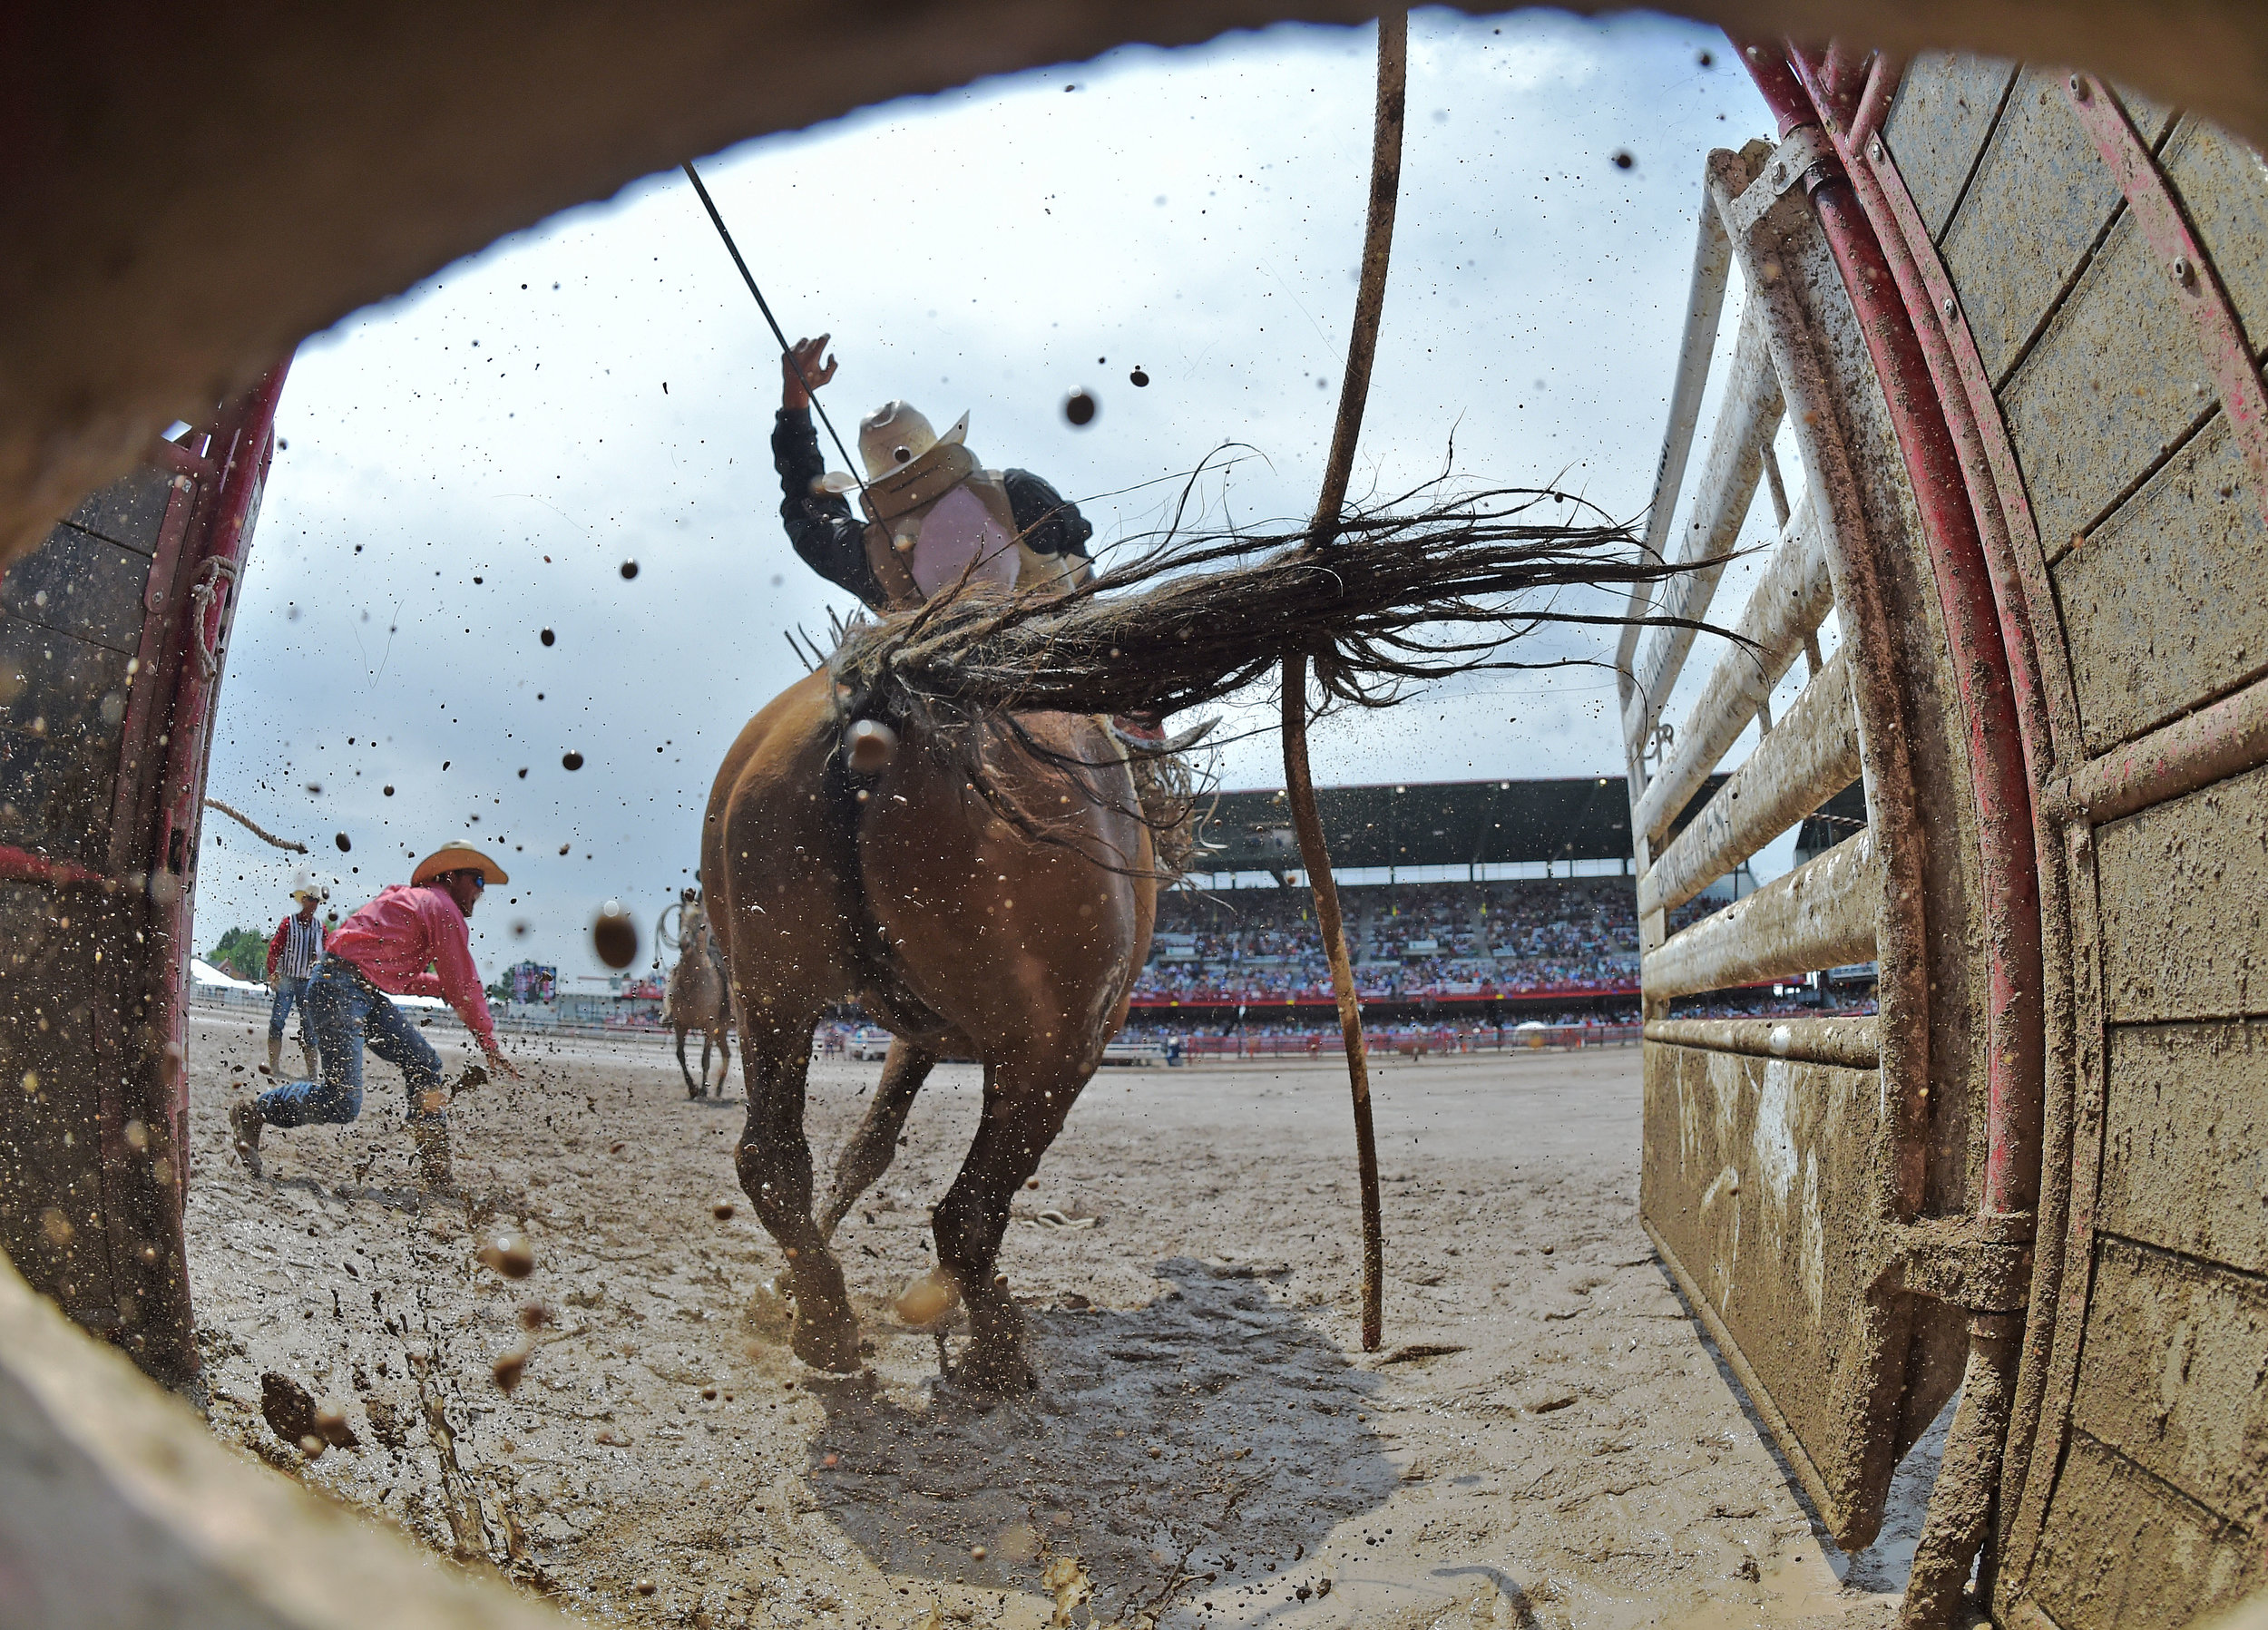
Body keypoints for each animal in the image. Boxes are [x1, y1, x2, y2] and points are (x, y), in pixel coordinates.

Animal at [703, 670, 1161, 1396]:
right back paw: (996, 1354)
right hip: (1053, 1051)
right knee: (968, 1214)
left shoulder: (917, 1035)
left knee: (771, 1161)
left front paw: (780, 1288)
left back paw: (822, 1321)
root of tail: (880, 703)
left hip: (770, 997)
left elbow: (865, 1151)